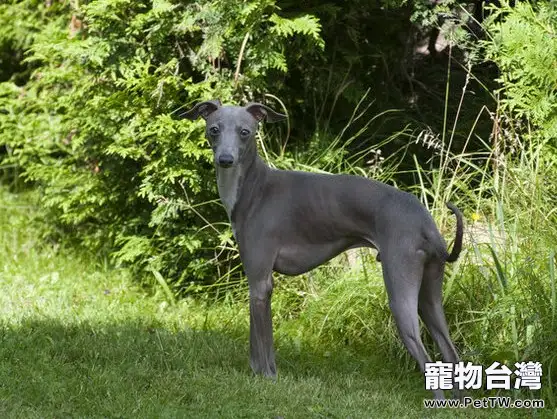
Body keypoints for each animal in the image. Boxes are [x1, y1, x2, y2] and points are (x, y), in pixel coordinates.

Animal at [181, 100, 460, 398]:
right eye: (214, 129)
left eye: (245, 132)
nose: (225, 160)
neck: (255, 189)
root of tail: (425, 221)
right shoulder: (256, 283)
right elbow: (256, 342)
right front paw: (255, 375)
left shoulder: (260, 283)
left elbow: (264, 343)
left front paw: (268, 379)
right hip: (430, 295)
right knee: (450, 352)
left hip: (401, 292)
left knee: (426, 357)